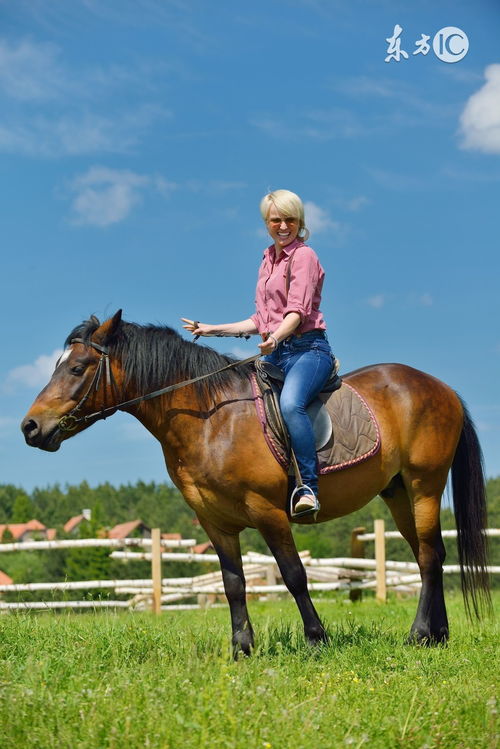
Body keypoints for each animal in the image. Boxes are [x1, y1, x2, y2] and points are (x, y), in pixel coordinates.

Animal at [20, 312, 488, 656]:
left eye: (77, 367)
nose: (30, 427)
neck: (211, 419)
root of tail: (441, 387)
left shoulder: (268, 512)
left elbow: (294, 574)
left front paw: (317, 640)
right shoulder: (215, 522)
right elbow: (234, 584)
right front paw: (242, 649)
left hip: (424, 484)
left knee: (428, 556)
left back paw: (419, 635)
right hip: (397, 492)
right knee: (431, 555)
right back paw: (437, 635)